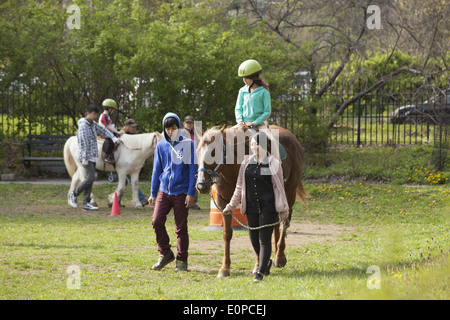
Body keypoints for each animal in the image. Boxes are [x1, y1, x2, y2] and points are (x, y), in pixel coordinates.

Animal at [198, 125, 310, 278]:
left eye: (213, 152)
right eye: (198, 152)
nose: (201, 186)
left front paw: (258, 266)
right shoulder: (224, 204)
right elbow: (227, 234)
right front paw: (225, 268)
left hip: (289, 191)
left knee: (285, 221)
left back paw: (280, 256)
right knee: (275, 223)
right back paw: (275, 254)